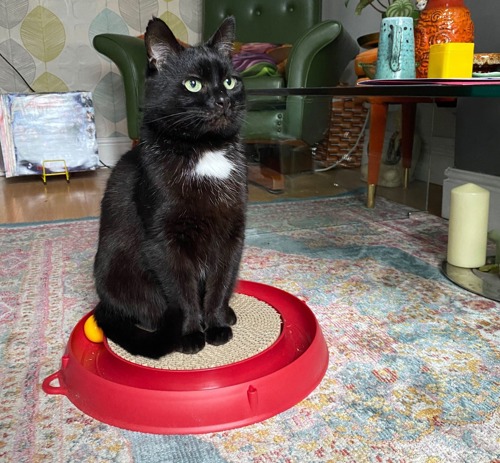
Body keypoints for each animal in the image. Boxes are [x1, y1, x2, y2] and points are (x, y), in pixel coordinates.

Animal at [93, 17, 247, 358]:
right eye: (193, 84)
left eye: (230, 82)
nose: (223, 99)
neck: (205, 151)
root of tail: (104, 304)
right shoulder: (164, 242)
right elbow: (183, 292)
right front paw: (191, 333)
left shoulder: (232, 232)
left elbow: (220, 282)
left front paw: (217, 324)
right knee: (148, 311)